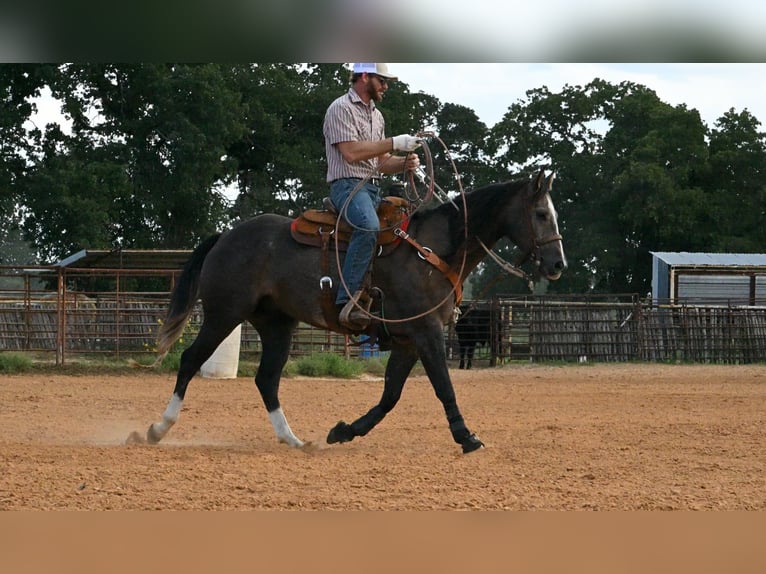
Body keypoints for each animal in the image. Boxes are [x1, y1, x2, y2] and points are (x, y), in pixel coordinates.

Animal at [140, 170, 566, 454]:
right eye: (541, 214)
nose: (557, 264)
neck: (435, 251)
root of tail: (225, 236)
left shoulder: (407, 340)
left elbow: (390, 396)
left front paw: (344, 430)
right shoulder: (426, 331)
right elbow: (443, 386)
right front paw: (467, 436)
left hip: (277, 324)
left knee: (266, 379)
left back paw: (292, 439)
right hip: (223, 314)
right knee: (190, 360)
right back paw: (157, 429)